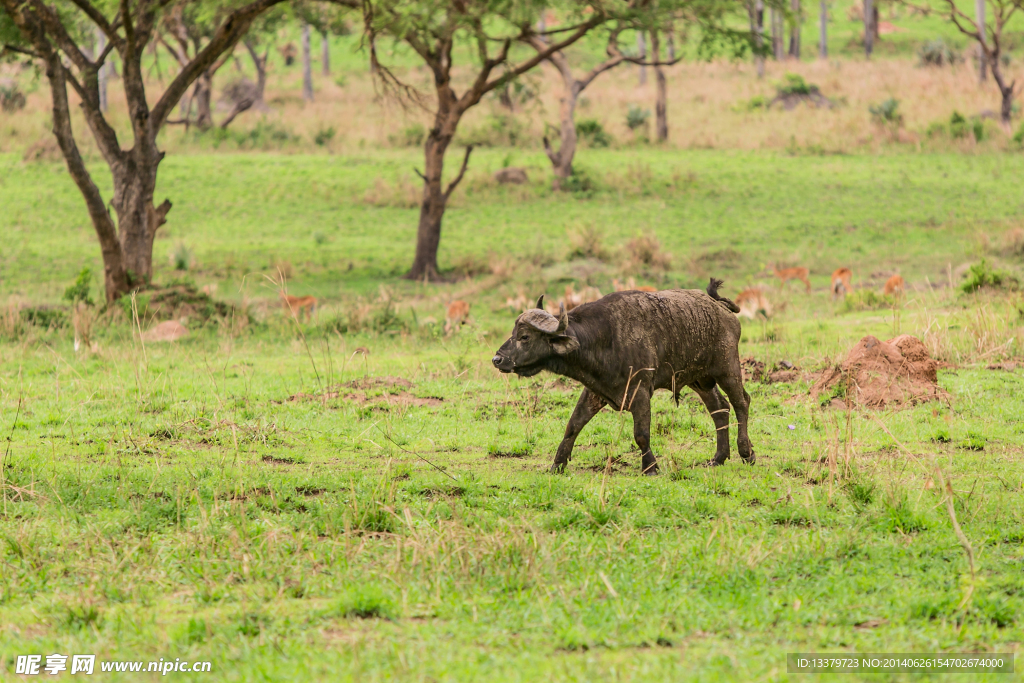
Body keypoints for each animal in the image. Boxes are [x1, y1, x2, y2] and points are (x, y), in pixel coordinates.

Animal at [491, 278, 757, 475]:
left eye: (524, 336)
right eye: (514, 332)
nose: (497, 360)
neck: (604, 339)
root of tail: (720, 307)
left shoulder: (640, 392)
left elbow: (641, 434)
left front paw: (650, 467)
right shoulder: (595, 390)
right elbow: (573, 425)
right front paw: (558, 464)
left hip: (727, 369)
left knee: (741, 402)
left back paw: (746, 452)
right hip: (699, 379)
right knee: (720, 408)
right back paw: (718, 457)